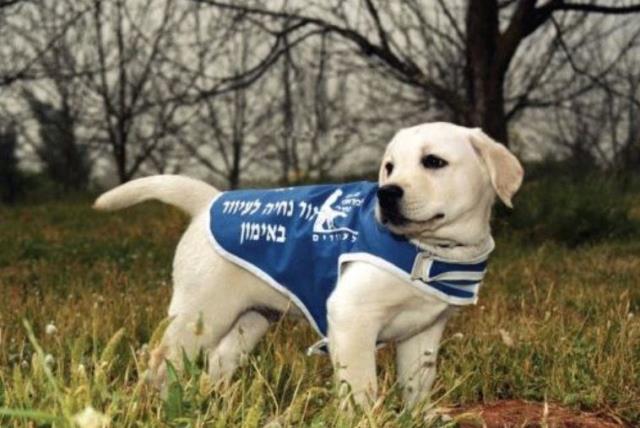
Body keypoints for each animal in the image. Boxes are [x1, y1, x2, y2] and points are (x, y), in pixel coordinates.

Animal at [96, 121, 524, 408]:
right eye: (389, 167)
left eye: (434, 162)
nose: (386, 194)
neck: (430, 251)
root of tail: (208, 202)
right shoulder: (351, 317)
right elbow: (362, 388)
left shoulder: (423, 334)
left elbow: (417, 387)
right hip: (200, 315)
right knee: (160, 363)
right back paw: (155, 404)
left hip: (250, 320)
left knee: (216, 364)